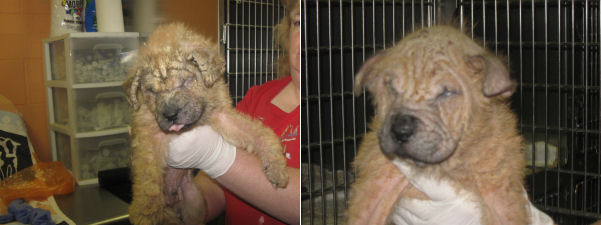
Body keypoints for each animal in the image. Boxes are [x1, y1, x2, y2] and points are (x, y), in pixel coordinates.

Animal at [123, 23, 288, 225]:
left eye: (185, 81)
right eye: (151, 91)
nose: (170, 115)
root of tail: (173, 202)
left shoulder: (223, 115)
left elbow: (259, 132)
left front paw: (277, 168)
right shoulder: (148, 137)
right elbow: (148, 179)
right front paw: (144, 213)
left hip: (194, 201)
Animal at [346, 25, 528, 224]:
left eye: (447, 93)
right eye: (391, 87)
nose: (400, 130)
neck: (440, 169)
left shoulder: (498, 190)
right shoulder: (377, 185)